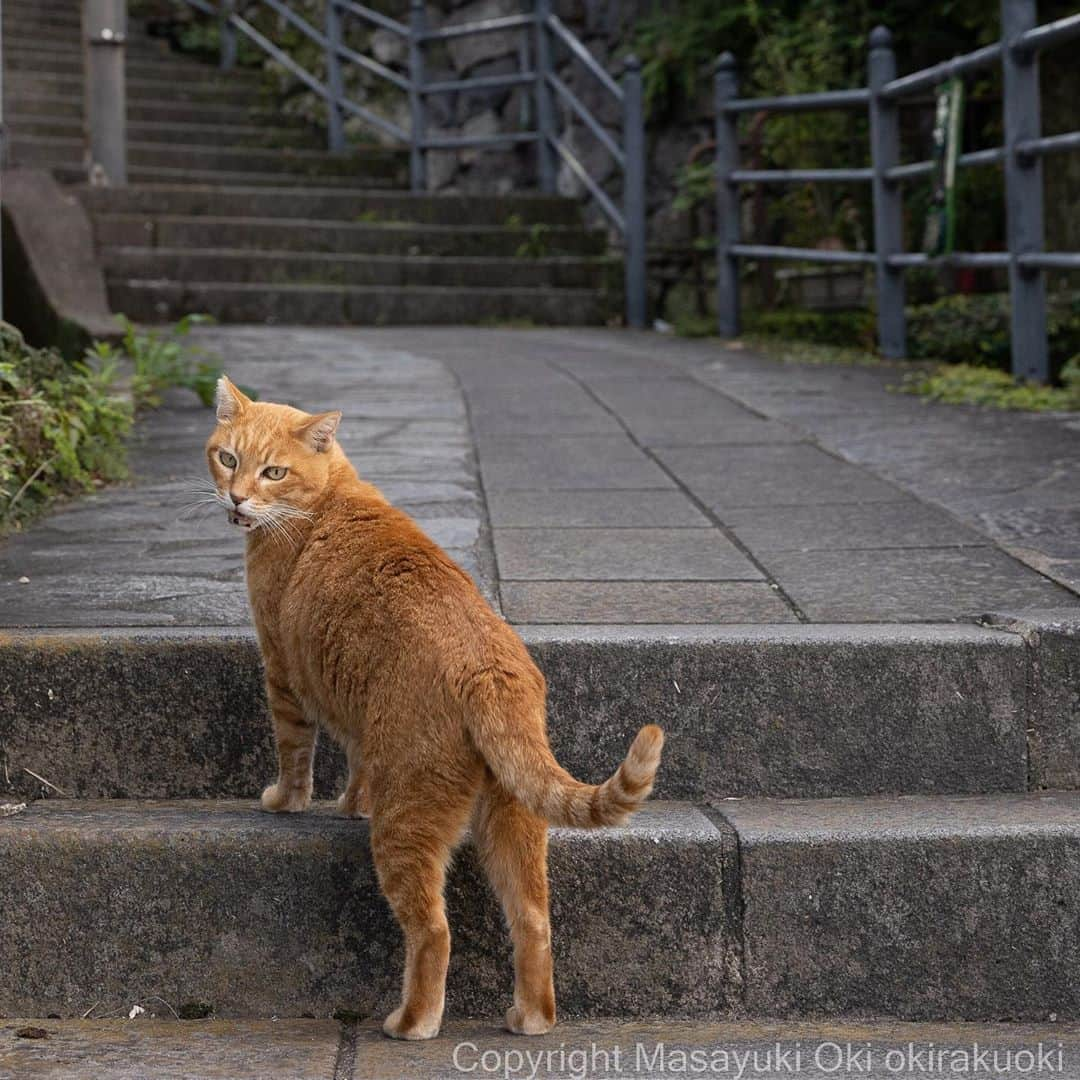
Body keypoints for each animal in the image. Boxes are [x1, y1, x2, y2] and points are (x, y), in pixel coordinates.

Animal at [205, 378, 660, 1036]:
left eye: (272, 471)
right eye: (227, 458)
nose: (237, 497)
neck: (325, 499)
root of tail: (491, 669)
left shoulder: (282, 672)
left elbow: (295, 755)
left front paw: (287, 802)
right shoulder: (359, 718)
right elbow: (357, 766)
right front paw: (351, 805)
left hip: (410, 819)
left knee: (433, 930)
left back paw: (412, 1022)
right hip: (513, 819)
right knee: (533, 921)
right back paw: (531, 1018)